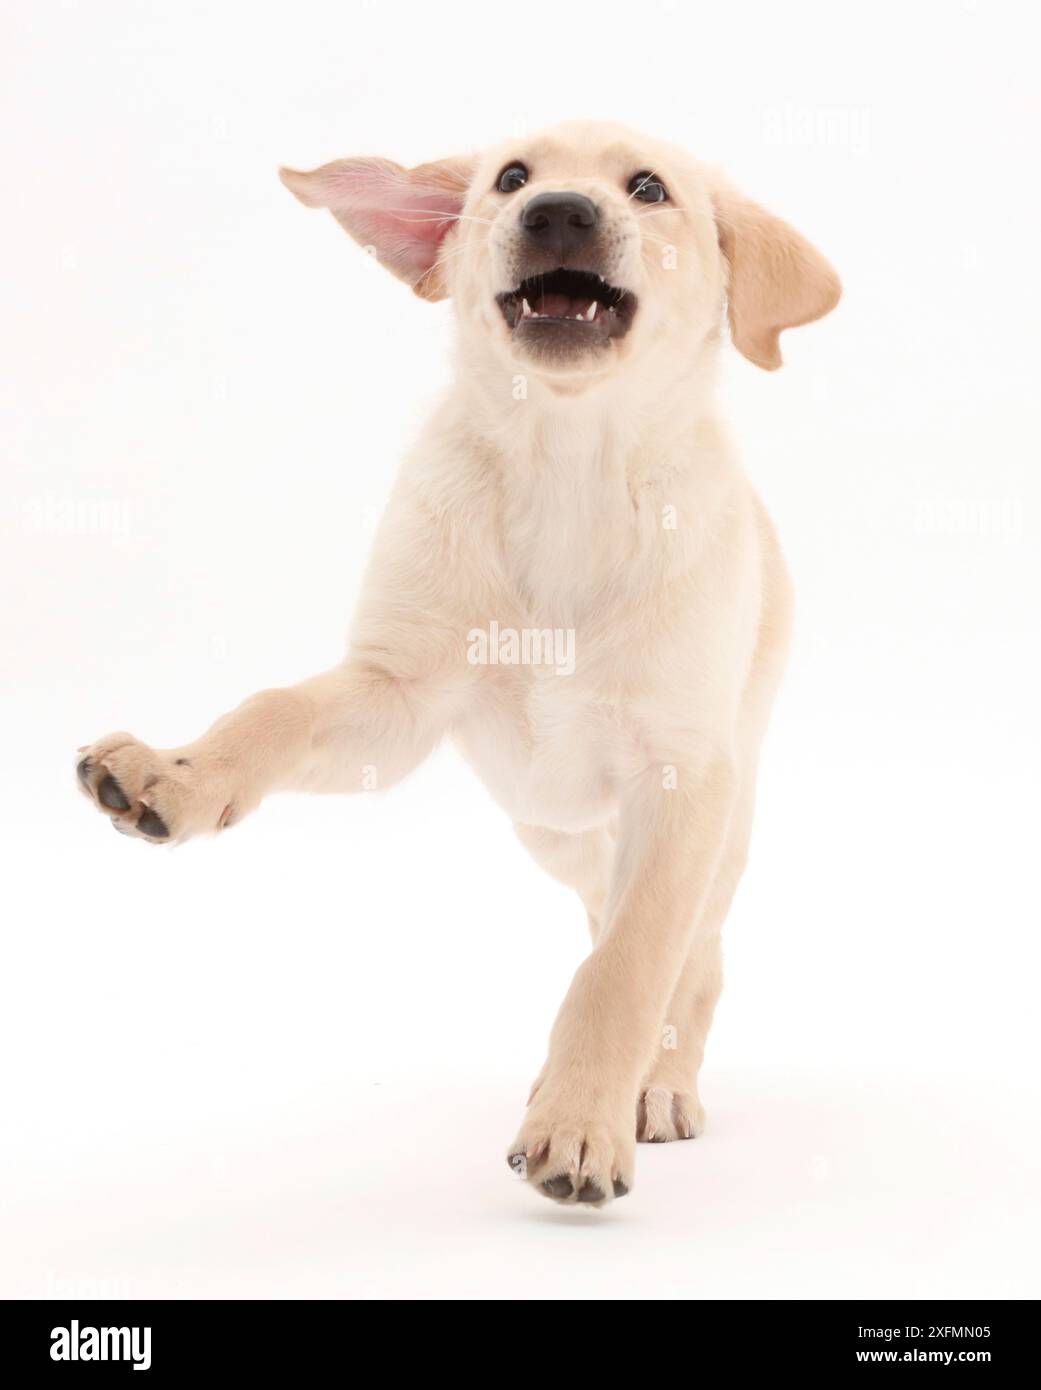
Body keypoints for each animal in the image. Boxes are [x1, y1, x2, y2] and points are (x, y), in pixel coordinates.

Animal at [75, 119, 833, 1206]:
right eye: (510, 177)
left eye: (649, 189)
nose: (558, 212)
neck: (569, 461)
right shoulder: (395, 699)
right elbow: (272, 710)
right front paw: (173, 774)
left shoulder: (683, 778)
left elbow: (629, 965)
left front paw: (579, 1119)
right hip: (549, 829)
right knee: (603, 901)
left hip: (715, 819)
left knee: (693, 954)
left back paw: (656, 1085)